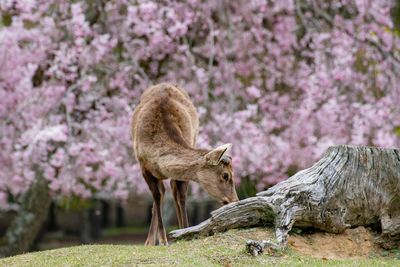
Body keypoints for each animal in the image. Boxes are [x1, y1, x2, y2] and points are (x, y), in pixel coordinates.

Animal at [131, 82, 239, 246]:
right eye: (226, 175)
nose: (235, 200)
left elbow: (181, 197)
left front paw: (186, 231)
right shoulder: (144, 167)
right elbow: (156, 197)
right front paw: (163, 240)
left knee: (172, 191)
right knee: (162, 193)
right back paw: (149, 241)